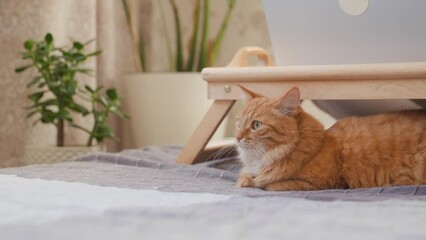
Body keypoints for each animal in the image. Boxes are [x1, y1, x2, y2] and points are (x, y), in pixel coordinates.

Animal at [236, 86, 426, 191]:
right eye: (238, 123)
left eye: (256, 125)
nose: (237, 138)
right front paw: (245, 180)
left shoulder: (319, 184)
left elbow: (266, 184)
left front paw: (251, 182)